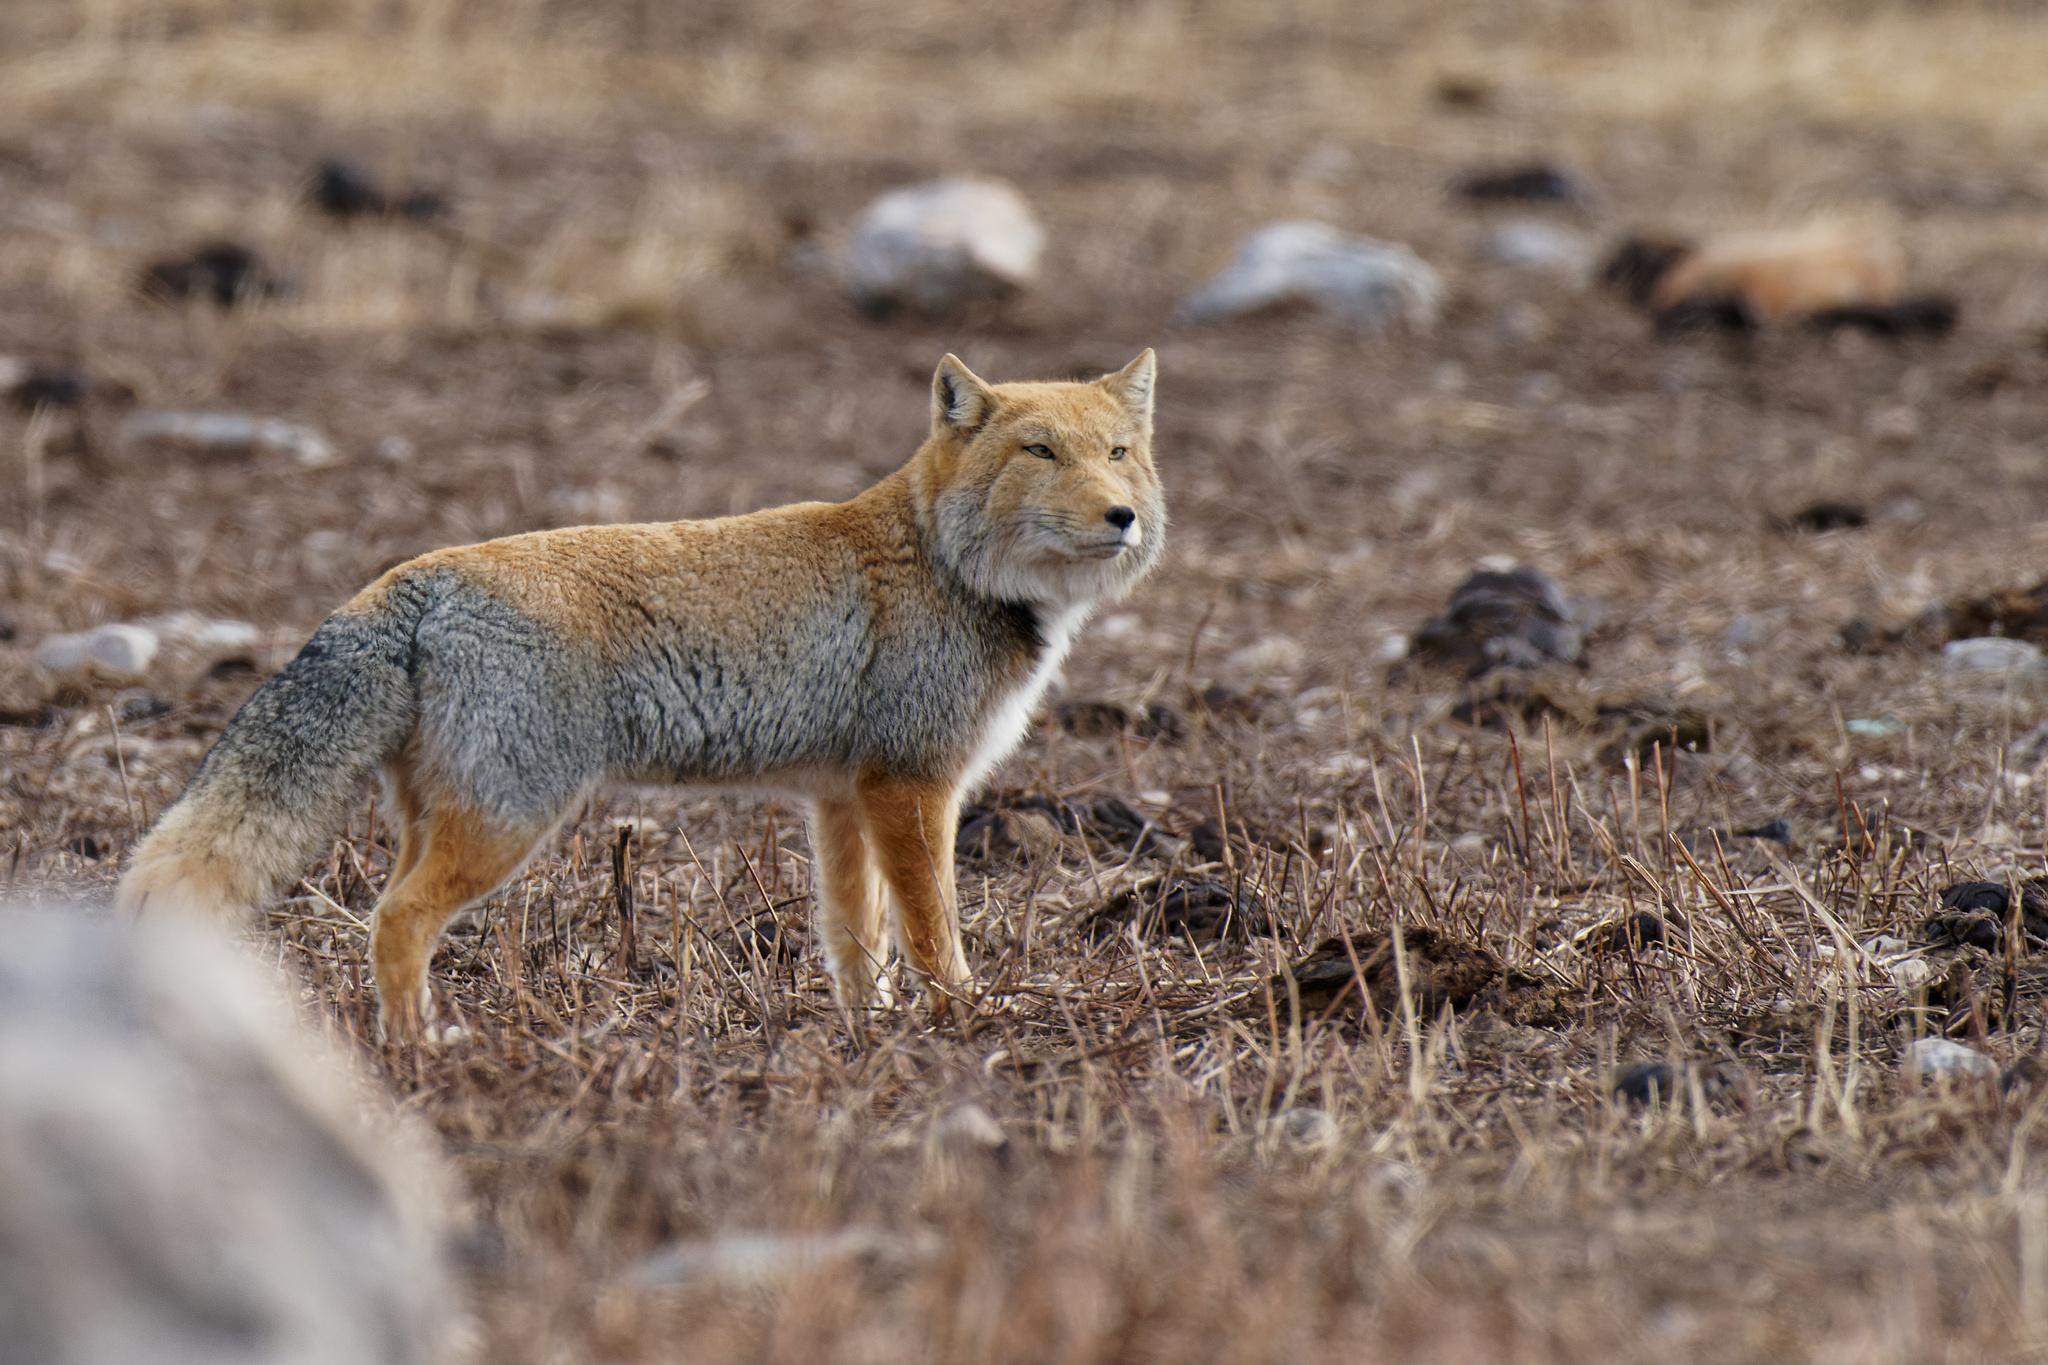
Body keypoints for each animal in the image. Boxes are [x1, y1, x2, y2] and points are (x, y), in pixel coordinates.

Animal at [116, 350, 1164, 1044]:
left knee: (385, 907)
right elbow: (933, 927)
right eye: (1040, 452)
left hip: (441, 813)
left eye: (1116, 452)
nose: (1124, 516)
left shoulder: (842, 797)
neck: (947, 564)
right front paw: (962, 1018)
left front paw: (869, 1030)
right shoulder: (914, 787)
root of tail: (412, 577)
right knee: (397, 918)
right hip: (508, 819)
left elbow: (853, 936)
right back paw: (421, 1048)